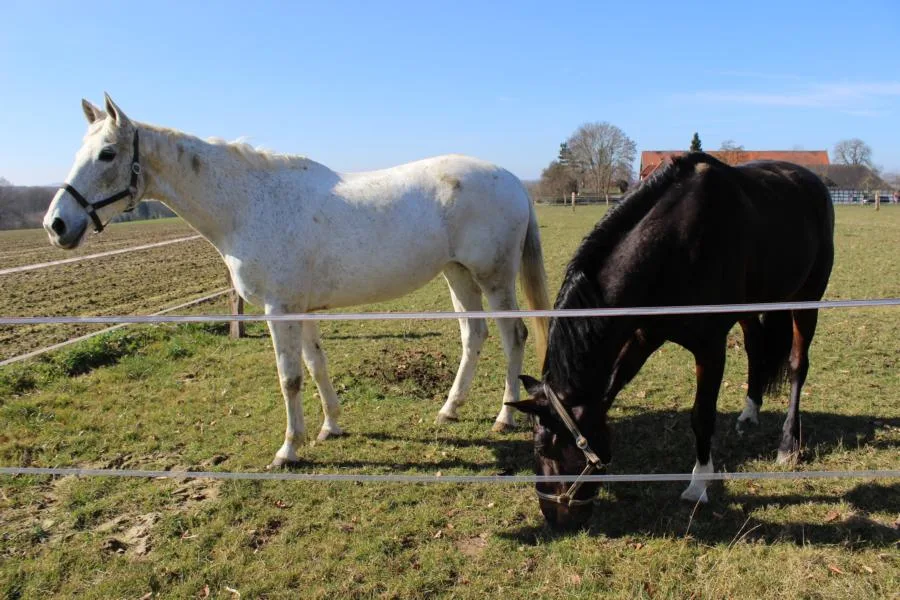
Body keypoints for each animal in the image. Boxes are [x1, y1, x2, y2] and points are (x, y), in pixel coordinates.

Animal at [42, 93, 551, 468]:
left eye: (107, 154)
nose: (56, 225)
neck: (249, 205)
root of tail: (512, 179)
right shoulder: (302, 309)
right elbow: (316, 365)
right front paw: (331, 427)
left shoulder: (279, 309)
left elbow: (289, 377)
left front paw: (288, 449)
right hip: (457, 274)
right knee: (473, 336)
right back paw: (449, 409)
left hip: (494, 278)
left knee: (514, 336)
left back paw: (503, 418)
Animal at [507, 152, 835, 529]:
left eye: (544, 449)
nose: (555, 517)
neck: (673, 244)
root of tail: (811, 181)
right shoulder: (643, 336)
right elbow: (612, 387)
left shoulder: (710, 347)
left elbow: (702, 416)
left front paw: (699, 484)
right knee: (755, 348)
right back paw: (749, 413)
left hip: (807, 297)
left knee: (797, 365)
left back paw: (788, 444)